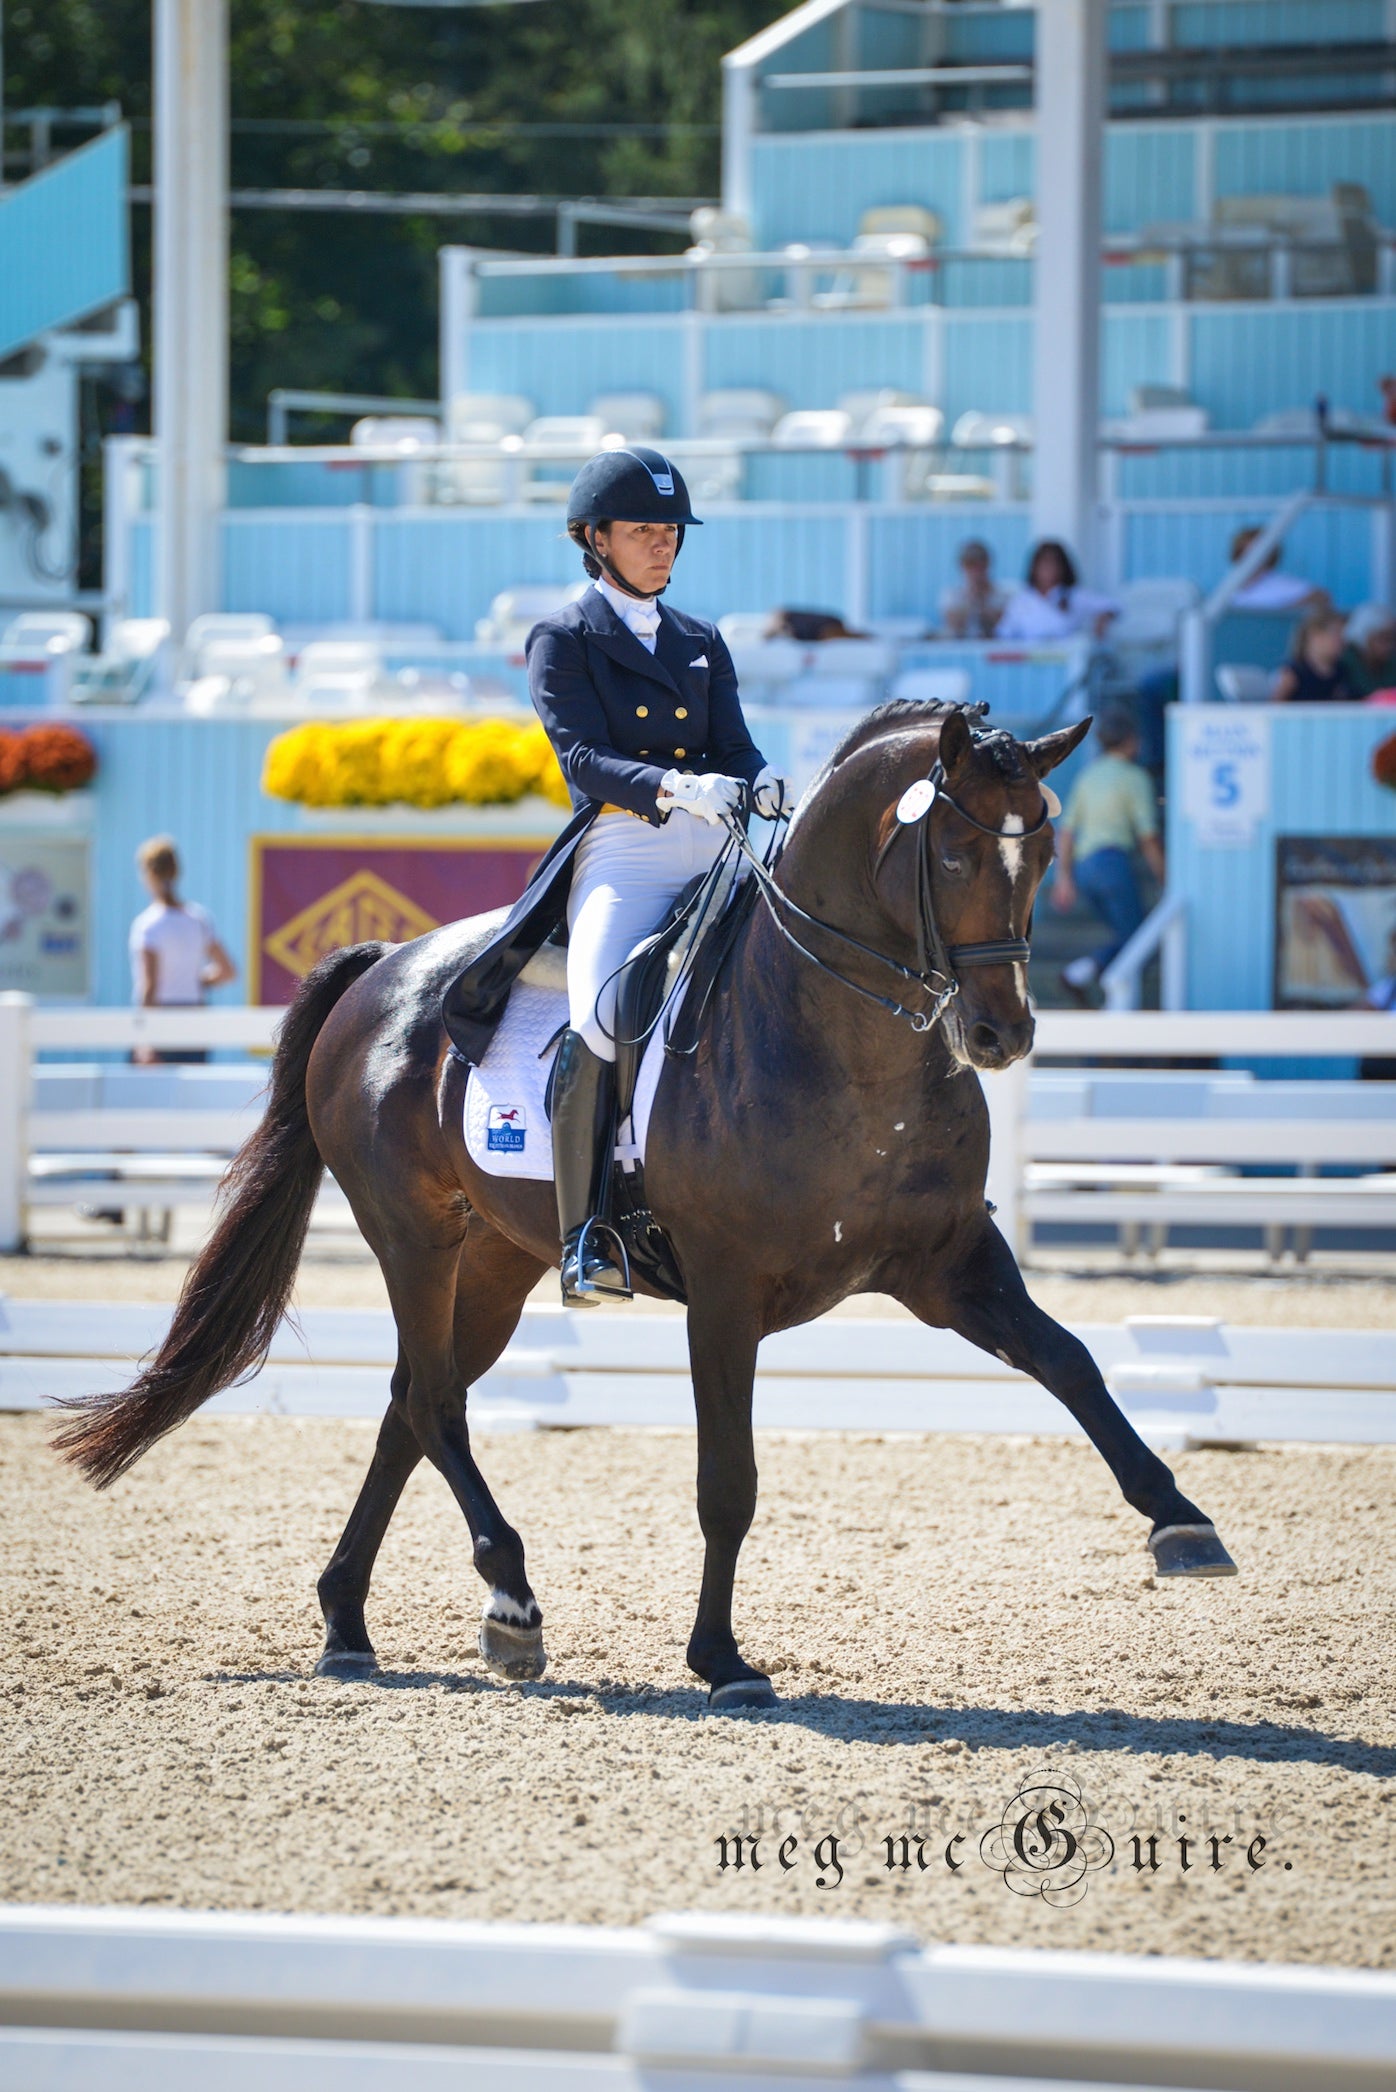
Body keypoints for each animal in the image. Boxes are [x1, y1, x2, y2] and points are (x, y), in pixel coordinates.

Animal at [51, 694, 1230, 1707]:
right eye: (949, 852)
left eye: (1046, 853)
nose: (1001, 1034)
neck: (847, 1044)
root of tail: (387, 968)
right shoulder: (726, 1293)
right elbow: (727, 1480)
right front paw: (722, 1659)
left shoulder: (946, 1265)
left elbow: (1071, 1361)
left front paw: (1182, 1523)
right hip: (414, 1236)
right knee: (432, 1405)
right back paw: (512, 1603)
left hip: (497, 1258)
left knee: (410, 1401)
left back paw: (349, 1624)